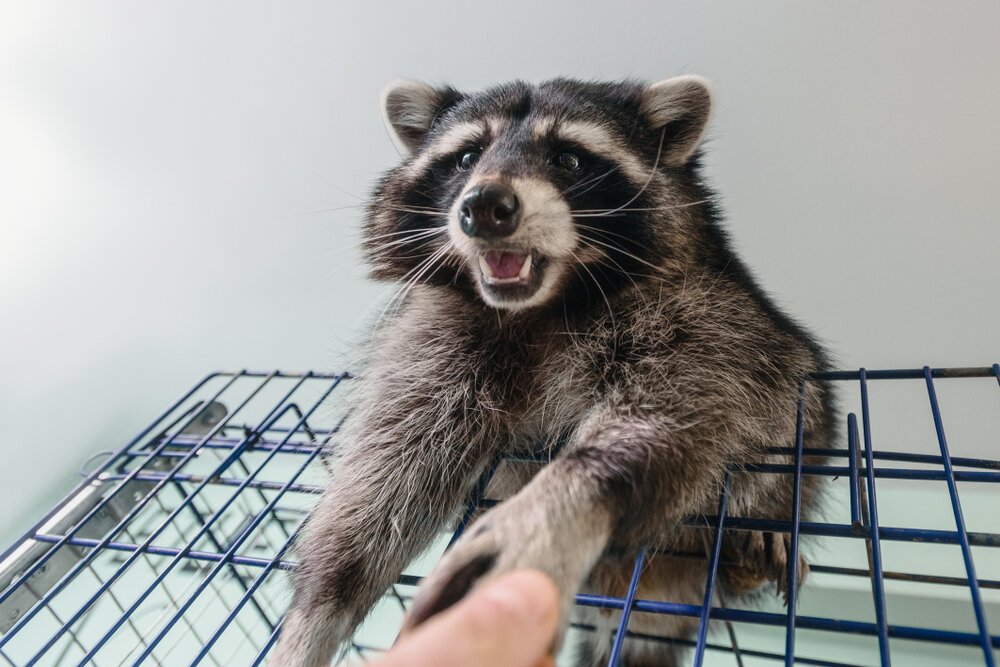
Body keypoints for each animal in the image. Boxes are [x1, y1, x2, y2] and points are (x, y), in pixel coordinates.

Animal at [272, 76, 836, 667]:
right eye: (467, 156)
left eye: (569, 158)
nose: (485, 205)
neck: (542, 305)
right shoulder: (439, 340)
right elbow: (389, 469)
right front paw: (317, 609)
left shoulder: (711, 319)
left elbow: (688, 401)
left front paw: (566, 498)